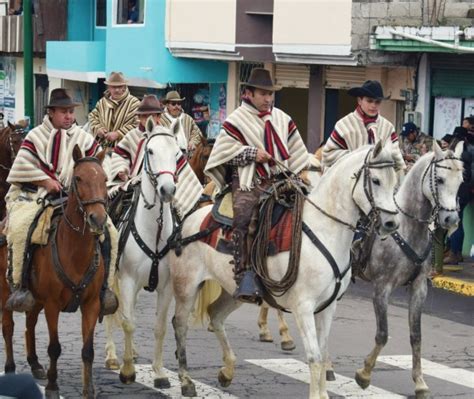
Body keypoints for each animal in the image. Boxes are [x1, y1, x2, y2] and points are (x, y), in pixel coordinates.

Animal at [103, 117, 181, 386]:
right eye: (151, 151)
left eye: (177, 153)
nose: (167, 190)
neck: (153, 230)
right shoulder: (126, 280)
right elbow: (128, 323)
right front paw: (127, 370)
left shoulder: (166, 286)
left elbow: (159, 327)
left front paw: (159, 373)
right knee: (112, 313)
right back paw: (112, 356)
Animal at [165, 140, 402, 396]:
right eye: (376, 180)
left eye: (395, 182)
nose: (391, 223)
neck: (324, 230)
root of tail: (188, 220)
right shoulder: (303, 307)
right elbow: (314, 356)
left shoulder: (327, 307)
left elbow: (323, 352)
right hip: (186, 286)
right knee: (179, 325)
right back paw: (186, 381)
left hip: (233, 291)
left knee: (215, 315)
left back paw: (226, 371)